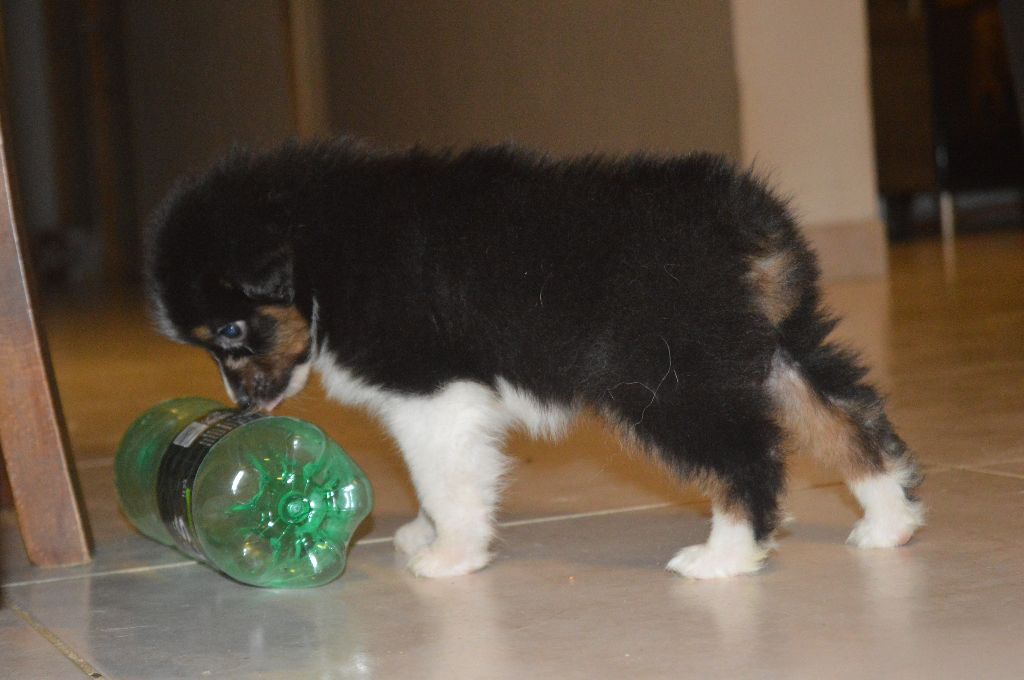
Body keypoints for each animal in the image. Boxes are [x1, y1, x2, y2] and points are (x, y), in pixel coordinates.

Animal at [144, 139, 924, 579]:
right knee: (847, 419)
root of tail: (744, 221)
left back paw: (727, 555)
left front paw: (448, 556)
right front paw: (423, 535)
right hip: (775, 345)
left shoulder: (431, 392)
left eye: (232, 332)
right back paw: (888, 523)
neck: (318, 251)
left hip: (665, 373)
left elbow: (445, 481)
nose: (246, 408)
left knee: (747, 455)